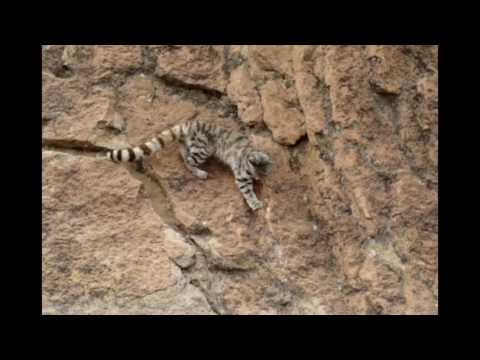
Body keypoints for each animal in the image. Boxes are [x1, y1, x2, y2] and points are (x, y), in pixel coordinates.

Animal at [103, 120, 272, 211]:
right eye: (253, 171)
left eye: (264, 173)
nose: (259, 178)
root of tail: (190, 123)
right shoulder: (242, 175)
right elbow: (247, 190)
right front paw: (255, 202)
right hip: (203, 149)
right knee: (188, 160)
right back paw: (199, 172)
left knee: (182, 152)